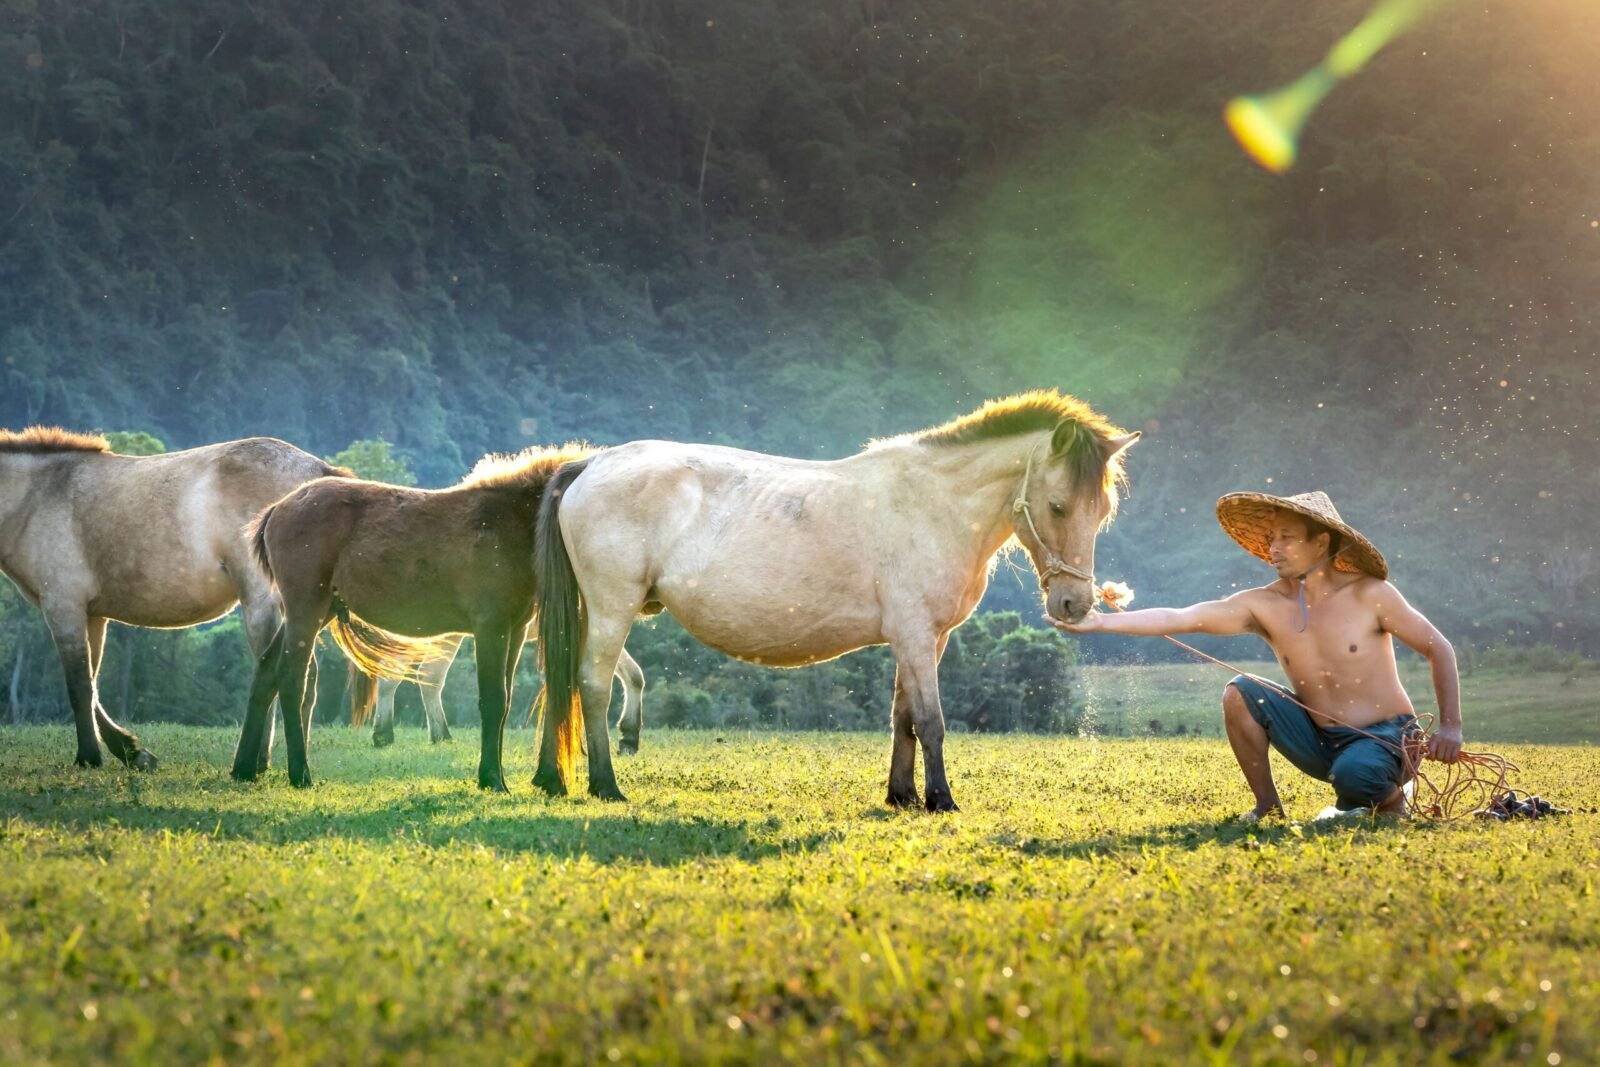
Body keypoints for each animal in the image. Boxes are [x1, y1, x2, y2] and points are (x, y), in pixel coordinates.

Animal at [0, 428, 348, 769]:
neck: (41, 494)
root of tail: (318, 474)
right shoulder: (93, 616)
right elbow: (93, 684)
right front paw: (131, 751)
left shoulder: (63, 606)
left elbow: (79, 687)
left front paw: (90, 756)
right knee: (303, 678)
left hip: (261, 604)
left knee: (278, 671)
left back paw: (258, 760)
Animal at [531, 390, 1138, 808]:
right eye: (1058, 506)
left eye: (1103, 510)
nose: (1074, 605)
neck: (934, 503)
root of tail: (591, 464)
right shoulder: (916, 635)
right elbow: (931, 720)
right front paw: (941, 799)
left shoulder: (924, 638)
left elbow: (903, 718)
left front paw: (902, 796)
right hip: (611, 609)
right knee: (592, 685)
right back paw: (605, 785)